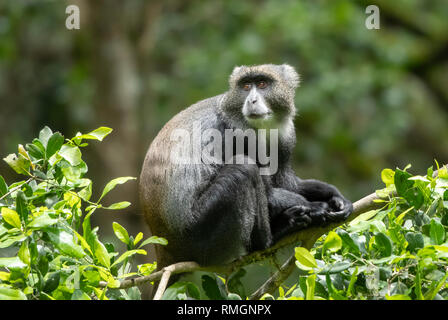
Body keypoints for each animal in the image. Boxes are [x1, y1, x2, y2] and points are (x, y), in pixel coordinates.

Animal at [140, 63, 354, 268]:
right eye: (245, 86)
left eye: (262, 84)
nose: (252, 101)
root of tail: (168, 250)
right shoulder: (236, 136)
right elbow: (269, 193)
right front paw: (315, 207)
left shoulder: (286, 136)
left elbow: (287, 183)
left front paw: (335, 197)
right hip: (197, 234)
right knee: (243, 169)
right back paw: (270, 239)